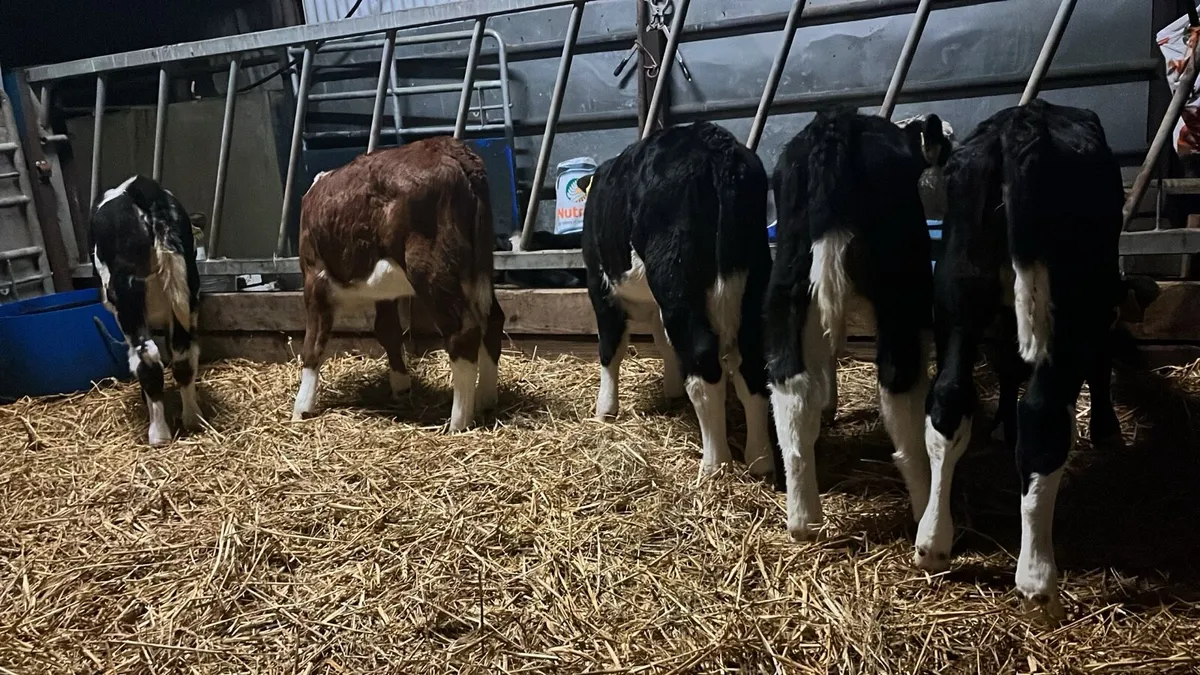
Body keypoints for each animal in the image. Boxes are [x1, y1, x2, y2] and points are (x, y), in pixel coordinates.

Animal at [90, 175, 203, 446]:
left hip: (127, 299)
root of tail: (141, 187)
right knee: (183, 354)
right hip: (186, 291)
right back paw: (193, 419)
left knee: (147, 356)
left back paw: (158, 434)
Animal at [290, 137, 504, 432]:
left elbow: (313, 342)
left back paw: (457, 423)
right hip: (480, 267)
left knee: (463, 331)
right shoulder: (385, 294)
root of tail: (449, 148)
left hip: (430, 268)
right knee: (492, 319)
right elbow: (387, 331)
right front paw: (401, 387)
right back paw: (485, 400)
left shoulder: (314, 275)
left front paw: (301, 408)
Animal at [582, 121, 775, 479]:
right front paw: (670, 390)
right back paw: (760, 460)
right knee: (751, 366)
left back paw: (715, 464)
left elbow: (610, 349)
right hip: (753, 273)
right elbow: (663, 342)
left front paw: (605, 410)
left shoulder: (599, 286)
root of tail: (715, 144)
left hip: (676, 278)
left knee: (702, 360)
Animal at [765, 109, 950, 542]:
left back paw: (803, 520)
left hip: (789, 287)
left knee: (791, 391)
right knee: (900, 386)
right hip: (903, 294)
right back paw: (923, 515)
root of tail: (836, 125)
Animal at [920, 99, 1123, 621]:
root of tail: (1024, 122)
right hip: (1071, 305)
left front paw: (999, 428)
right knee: (1042, 419)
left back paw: (932, 542)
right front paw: (1107, 429)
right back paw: (1037, 580)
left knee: (948, 400)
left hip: (957, 289)